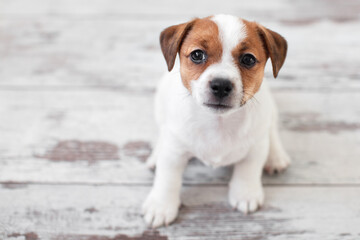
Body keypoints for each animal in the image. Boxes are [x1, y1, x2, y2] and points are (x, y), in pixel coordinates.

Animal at [142, 14, 292, 228]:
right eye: (197, 55)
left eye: (248, 59)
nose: (221, 85)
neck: (218, 122)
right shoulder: (173, 154)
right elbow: (167, 179)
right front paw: (161, 206)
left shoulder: (255, 149)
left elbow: (249, 170)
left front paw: (245, 193)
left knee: (271, 130)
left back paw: (276, 156)